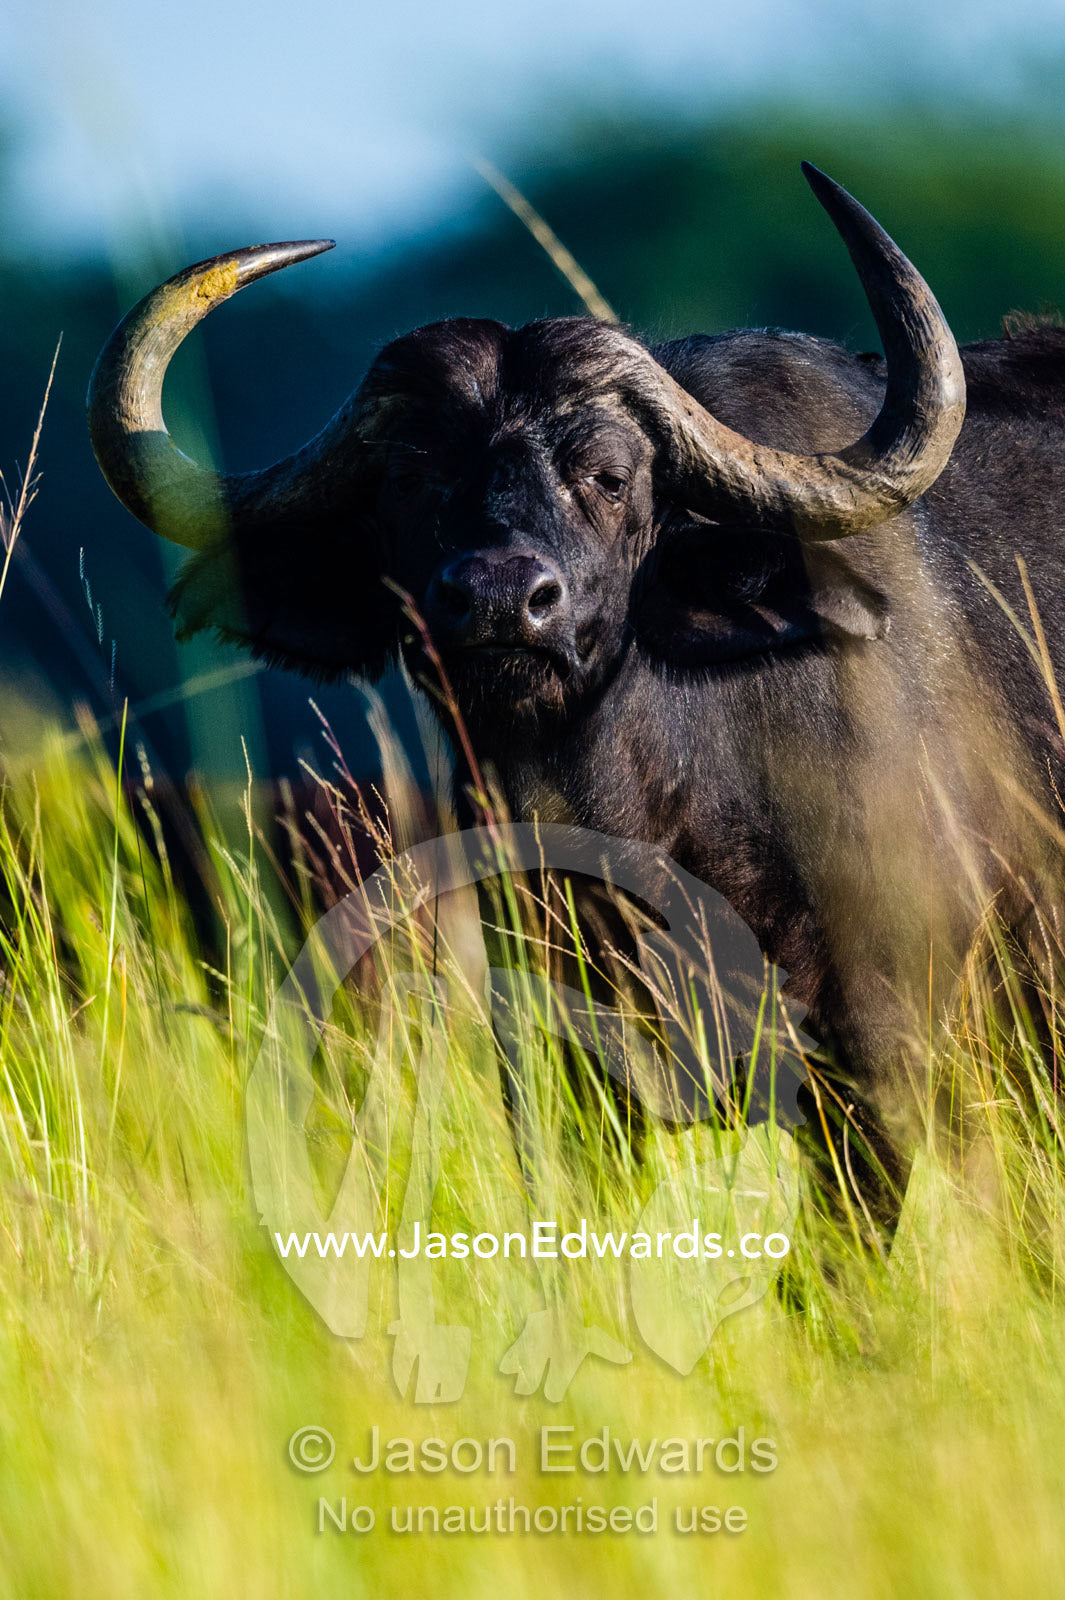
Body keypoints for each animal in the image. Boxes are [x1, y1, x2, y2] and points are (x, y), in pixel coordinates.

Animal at [87, 164, 1065, 1248]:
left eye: (609, 475)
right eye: (410, 479)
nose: (502, 597)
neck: (651, 818)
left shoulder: (881, 1070)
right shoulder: (561, 1083)